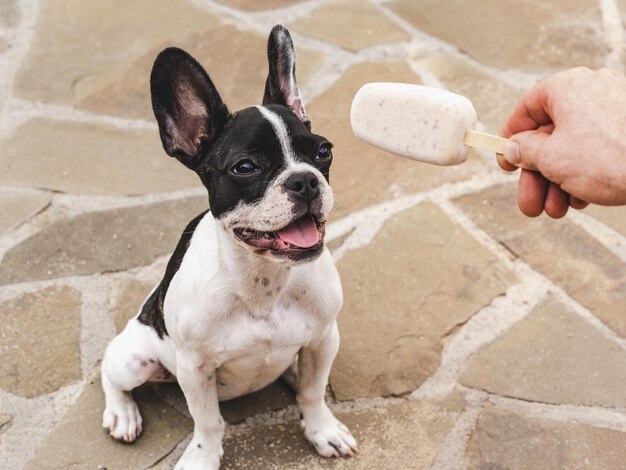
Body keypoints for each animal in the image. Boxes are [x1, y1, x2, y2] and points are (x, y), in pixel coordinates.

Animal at [100, 24, 358, 466]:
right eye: (245, 167)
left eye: (323, 151)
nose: (305, 180)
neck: (264, 280)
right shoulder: (194, 368)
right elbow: (208, 422)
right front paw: (202, 458)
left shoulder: (324, 339)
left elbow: (312, 394)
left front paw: (322, 429)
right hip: (134, 358)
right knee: (110, 374)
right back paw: (122, 413)